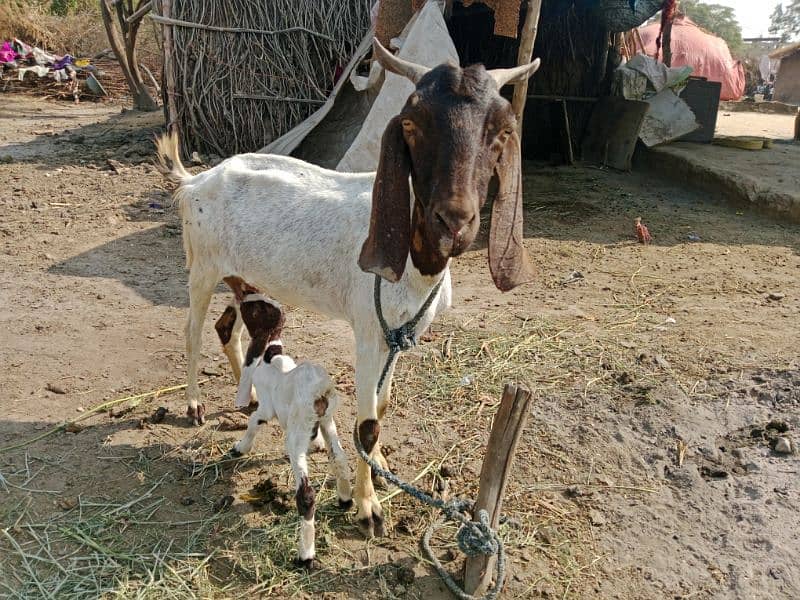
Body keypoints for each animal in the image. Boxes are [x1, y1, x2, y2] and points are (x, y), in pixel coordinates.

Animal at [155, 41, 540, 540]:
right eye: (411, 124)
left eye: (502, 130)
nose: (454, 222)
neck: (416, 266)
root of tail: (196, 179)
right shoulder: (368, 333)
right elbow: (367, 423)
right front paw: (367, 506)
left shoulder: (401, 335)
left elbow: (383, 404)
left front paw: (378, 468)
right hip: (201, 265)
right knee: (193, 330)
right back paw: (194, 405)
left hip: (246, 277)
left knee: (231, 327)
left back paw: (252, 397)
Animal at [227, 292, 348, 568]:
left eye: (254, 310)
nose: (241, 298)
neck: (270, 355)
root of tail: (321, 391)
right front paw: (317, 444)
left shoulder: (266, 407)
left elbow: (253, 422)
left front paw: (239, 448)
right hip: (328, 420)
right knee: (339, 457)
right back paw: (345, 500)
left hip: (295, 435)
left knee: (306, 494)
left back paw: (305, 556)